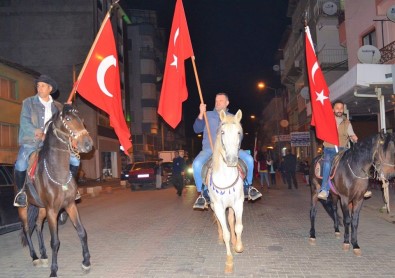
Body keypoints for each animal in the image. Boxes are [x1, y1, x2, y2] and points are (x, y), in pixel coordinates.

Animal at [18, 103, 93, 276]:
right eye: (68, 119)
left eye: (82, 119)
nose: (88, 144)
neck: (58, 172)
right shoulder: (52, 210)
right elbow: (55, 242)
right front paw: (53, 271)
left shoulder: (70, 205)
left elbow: (82, 232)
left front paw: (86, 262)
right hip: (24, 208)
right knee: (27, 229)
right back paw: (35, 257)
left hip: (41, 208)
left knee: (38, 225)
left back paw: (44, 255)